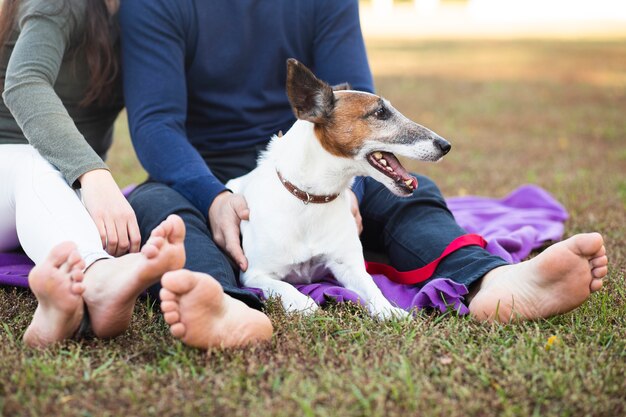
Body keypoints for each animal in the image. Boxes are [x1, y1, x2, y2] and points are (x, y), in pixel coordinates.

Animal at [224, 59, 448, 318]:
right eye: (380, 112)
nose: (446, 145)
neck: (311, 197)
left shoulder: (348, 266)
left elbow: (373, 287)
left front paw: (388, 310)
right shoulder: (254, 274)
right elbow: (283, 287)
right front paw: (302, 302)